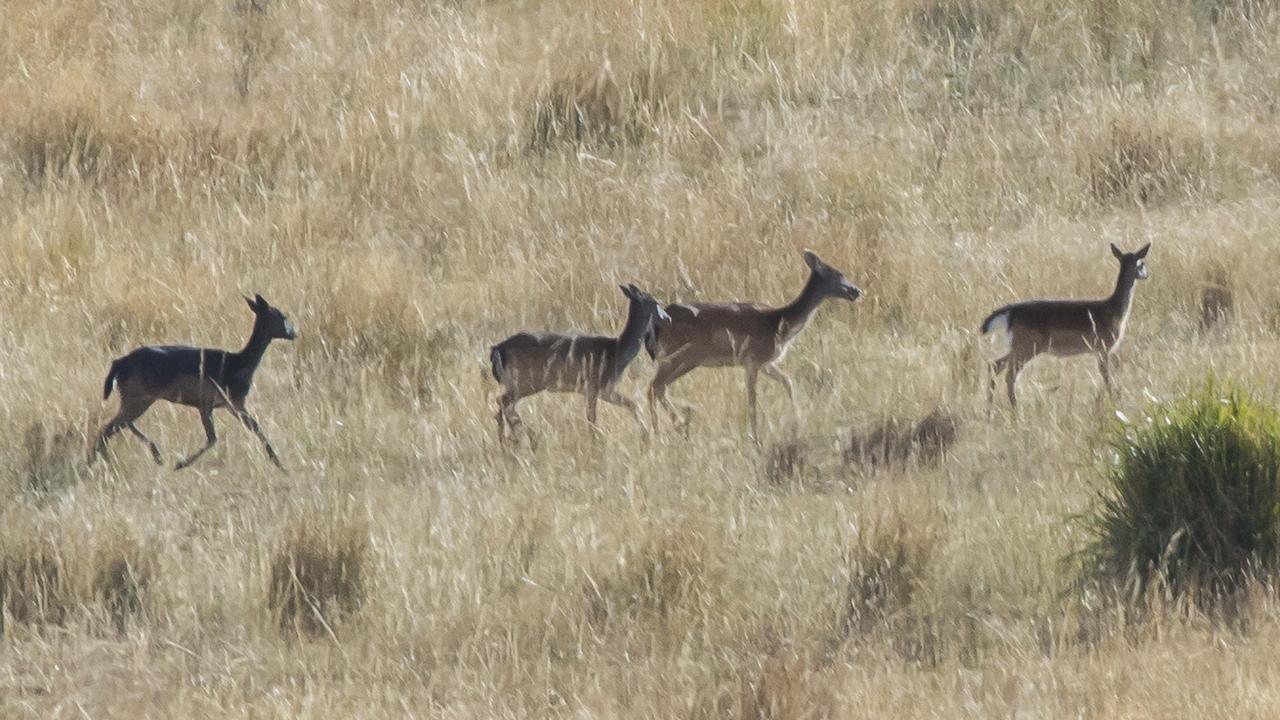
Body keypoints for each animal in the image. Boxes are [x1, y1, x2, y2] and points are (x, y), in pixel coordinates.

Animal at [92, 293, 296, 468]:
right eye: (282, 316)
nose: (293, 332)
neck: (239, 364)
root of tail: (119, 363)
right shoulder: (217, 403)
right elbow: (216, 437)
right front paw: (180, 464)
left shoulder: (229, 405)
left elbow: (251, 429)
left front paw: (279, 464)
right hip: (138, 397)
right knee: (109, 428)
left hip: (139, 398)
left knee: (119, 425)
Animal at [486, 281, 670, 443]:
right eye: (655, 302)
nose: (667, 318)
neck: (616, 352)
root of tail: (497, 349)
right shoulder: (597, 385)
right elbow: (596, 417)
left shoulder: (599, 390)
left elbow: (628, 405)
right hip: (526, 380)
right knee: (503, 402)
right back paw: (527, 437)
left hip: (517, 382)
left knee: (501, 408)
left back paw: (509, 441)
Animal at [645, 249, 865, 435]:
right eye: (838, 274)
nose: (856, 291)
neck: (780, 324)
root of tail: (657, 322)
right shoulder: (752, 360)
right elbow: (752, 401)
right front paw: (756, 437)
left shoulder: (766, 362)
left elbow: (788, 381)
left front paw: (797, 418)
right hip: (684, 355)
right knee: (657, 385)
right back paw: (672, 427)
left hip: (678, 357)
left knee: (656, 387)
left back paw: (667, 428)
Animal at [983, 242, 1157, 407]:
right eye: (1142, 263)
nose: (1147, 274)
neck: (1114, 310)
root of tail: (1011, 313)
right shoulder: (1103, 347)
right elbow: (1107, 378)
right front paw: (1114, 402)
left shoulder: (1099, 350)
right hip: (1027, 345)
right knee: (1009, 374)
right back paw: (1015, 410)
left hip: (1019, 346)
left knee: (994, 365)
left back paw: (990, 410)